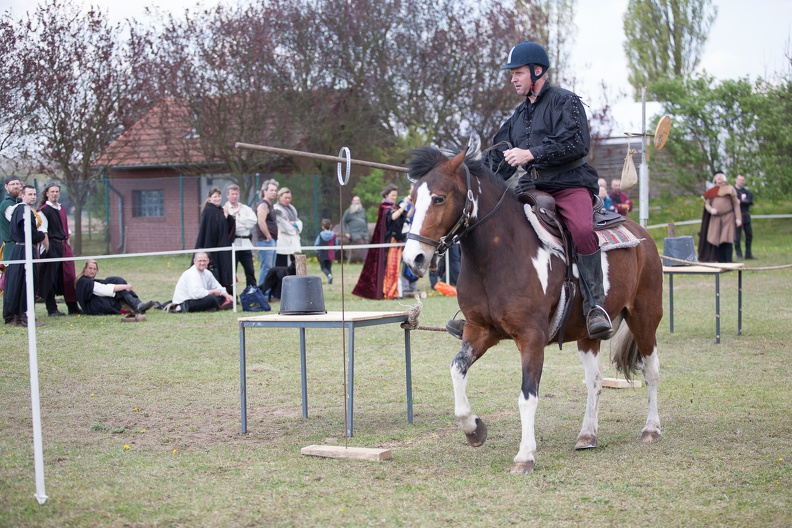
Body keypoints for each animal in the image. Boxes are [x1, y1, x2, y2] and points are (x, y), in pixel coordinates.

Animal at [402, 145, 664, 474]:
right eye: (412, 200)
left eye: (439, 198)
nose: (414, 258)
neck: (499, 256)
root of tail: (641, 234)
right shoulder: (479, 331)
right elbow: (456, 371)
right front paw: (474, 429)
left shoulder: (531, 338)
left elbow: (527, 396)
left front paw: (525, 455)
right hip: (587, 335)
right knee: (594, 381)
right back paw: (587, 434)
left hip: (644, 318)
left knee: (651, 371)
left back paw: (651, 428)